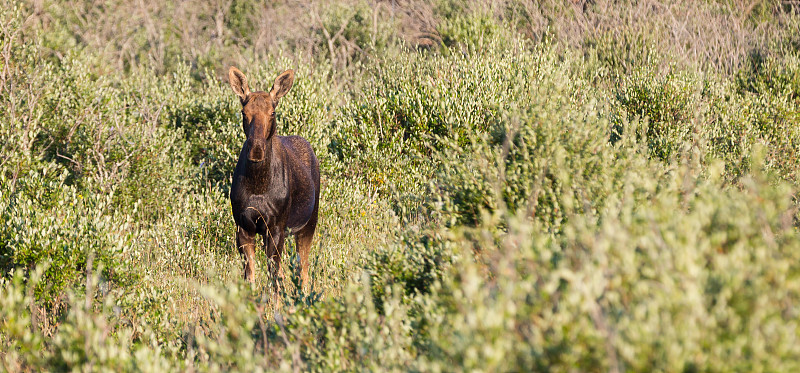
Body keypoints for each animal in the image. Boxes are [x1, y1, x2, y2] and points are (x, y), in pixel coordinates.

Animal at [227, 67, 320, 290]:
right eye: (244, 112)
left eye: (272, 112)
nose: (256, 150)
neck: (258, 184)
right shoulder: (244, 227)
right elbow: (250, 277)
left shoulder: (275, 227)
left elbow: (274, 277)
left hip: (308, 224)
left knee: (303, 271)